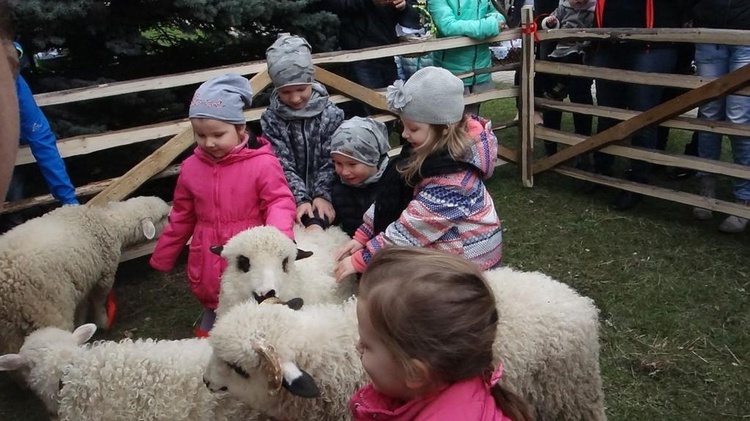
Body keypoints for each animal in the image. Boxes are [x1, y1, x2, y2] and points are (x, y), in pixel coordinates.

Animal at [0, 194, 170, 358]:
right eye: (163, 217)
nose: (172, 211)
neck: (110, 223)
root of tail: (6, 285)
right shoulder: (104, 275)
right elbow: (98, 300)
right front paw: (103, 322)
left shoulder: (81, 280)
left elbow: (82, 305)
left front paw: (81, 324)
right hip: (48, 310)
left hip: (8, 331)